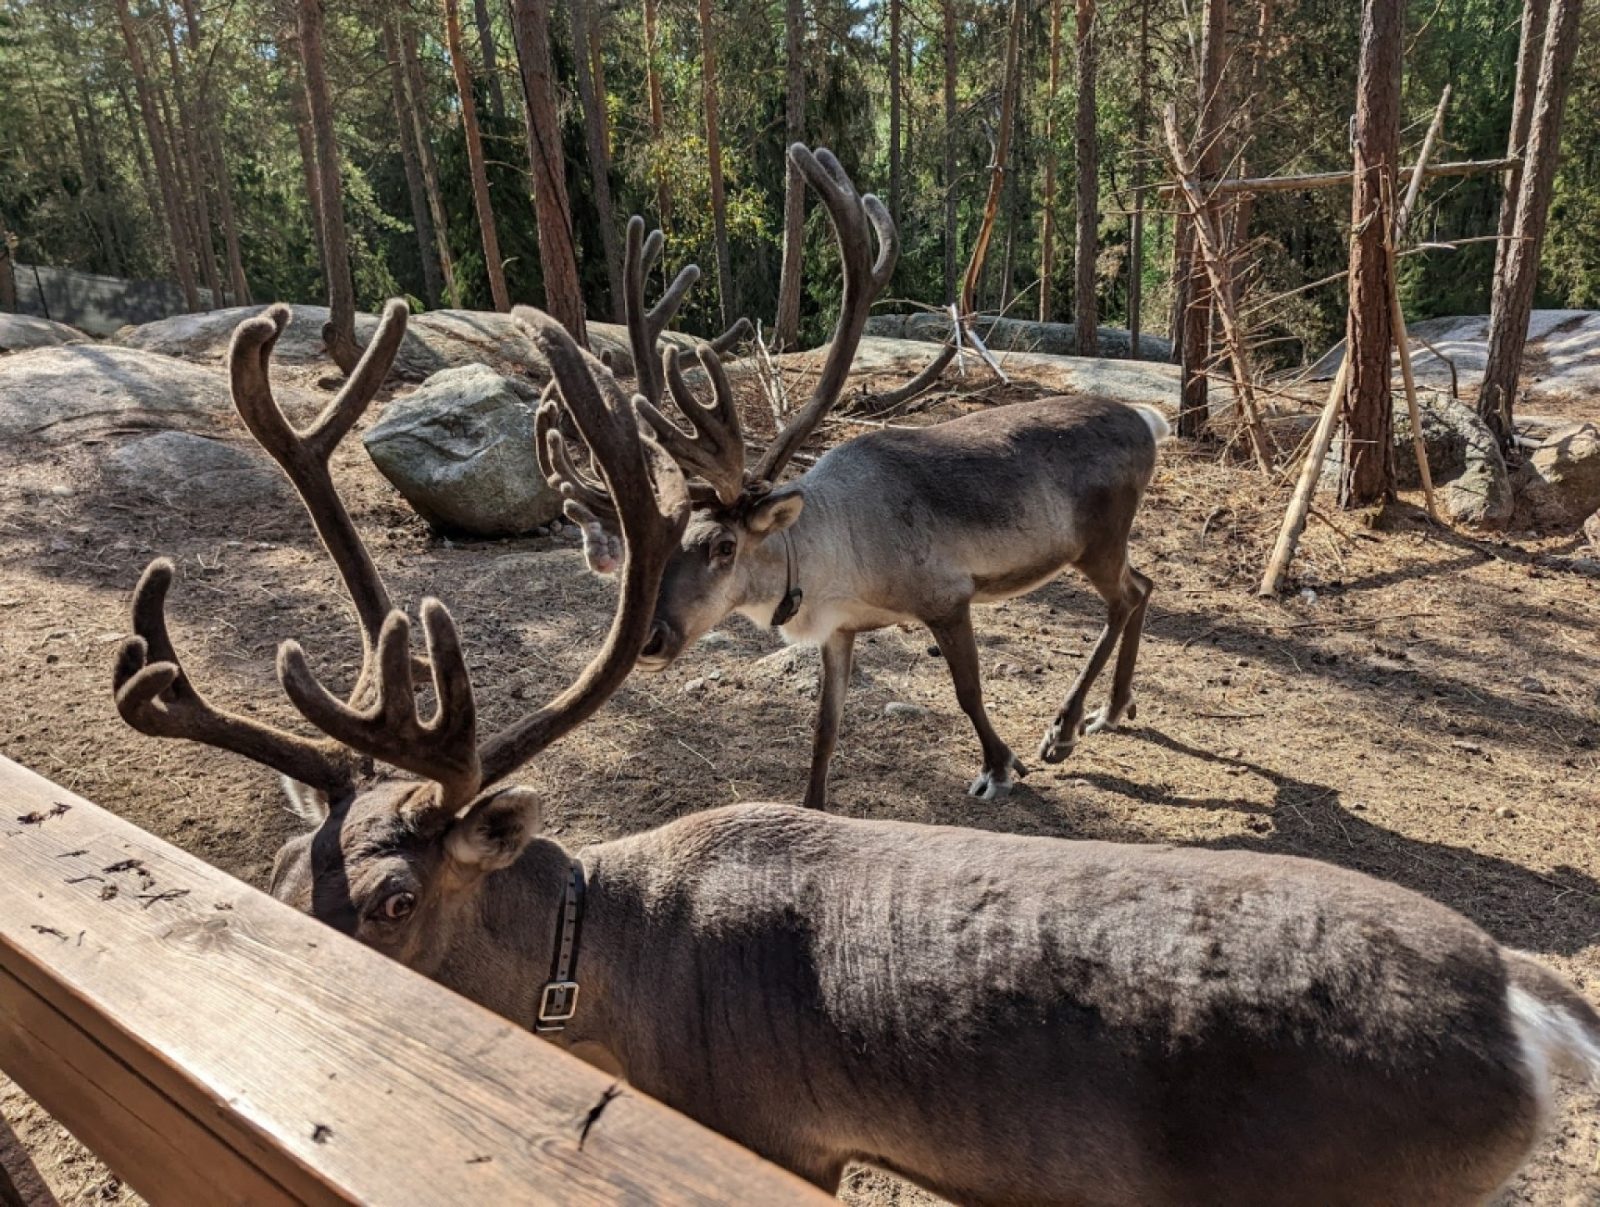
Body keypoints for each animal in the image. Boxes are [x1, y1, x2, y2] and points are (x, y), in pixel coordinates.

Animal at [556, 144, 1170, 810]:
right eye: (666, 545)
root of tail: (1147, 422)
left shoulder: (947, 596)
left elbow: (968, 692)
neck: (835, 561)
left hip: (1097, 540)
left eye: (723, 545)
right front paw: (812, 807)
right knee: (1145, 585)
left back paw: (1065, 728)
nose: (647, 639)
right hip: (1106, 543)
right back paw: (1111, 710)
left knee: (1127, 596)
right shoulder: (840, 631)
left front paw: (999, 765)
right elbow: (825, 729)